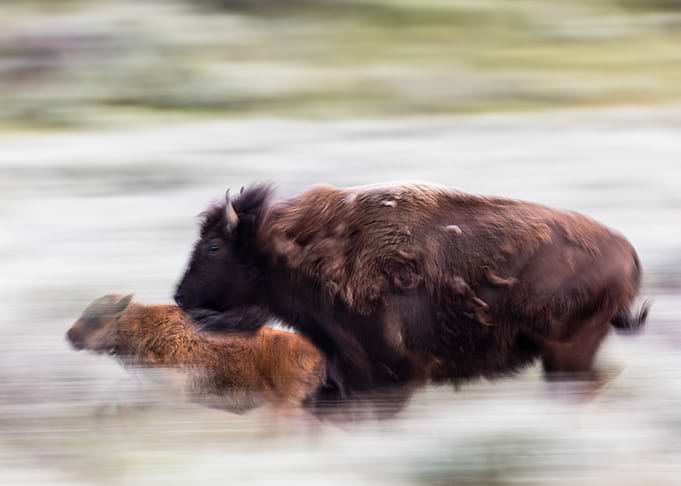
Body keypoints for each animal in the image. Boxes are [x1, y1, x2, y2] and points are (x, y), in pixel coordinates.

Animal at [174, 183, 649, 398]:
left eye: (214, 245)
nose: (180, 297)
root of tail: (626, 251)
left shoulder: (385, 375)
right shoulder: (344, 372)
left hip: (567, 353)